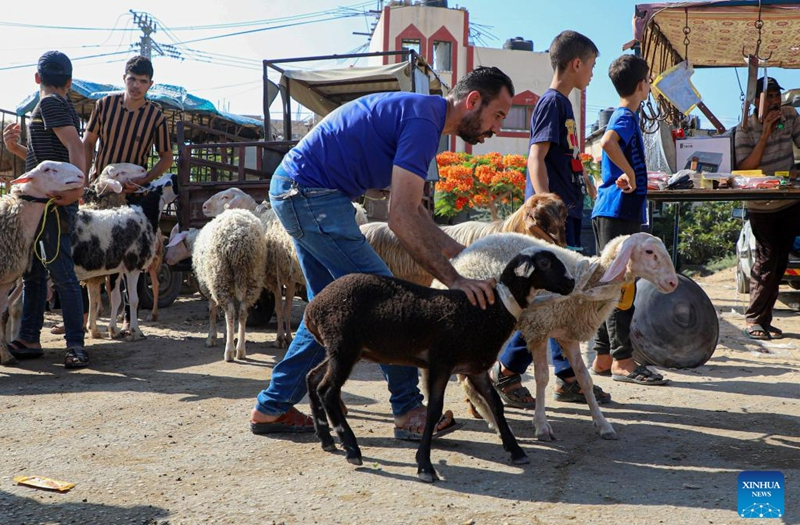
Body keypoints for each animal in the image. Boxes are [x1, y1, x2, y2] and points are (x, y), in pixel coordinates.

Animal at [165, 209, 266, 360]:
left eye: (173, 241)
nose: (166, 259)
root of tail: (240, 242)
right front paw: (226, 336)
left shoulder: (208, 286)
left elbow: (213, 311)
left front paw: (211, 338)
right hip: (252, 277)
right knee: (242, 312)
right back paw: (240, 350)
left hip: (219, 275)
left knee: (230, 312)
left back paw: (229, 352)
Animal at [440, 231, 680, 440]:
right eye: (649, 251)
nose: (673, 283)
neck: (589, 282)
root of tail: (463, 256)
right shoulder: (539, 328)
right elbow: (542, 377)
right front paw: (542, 426)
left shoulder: (568, 335)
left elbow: (584, 378)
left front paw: (603, 424)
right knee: (468, 378)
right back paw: (492, 420)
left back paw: (481, 411)